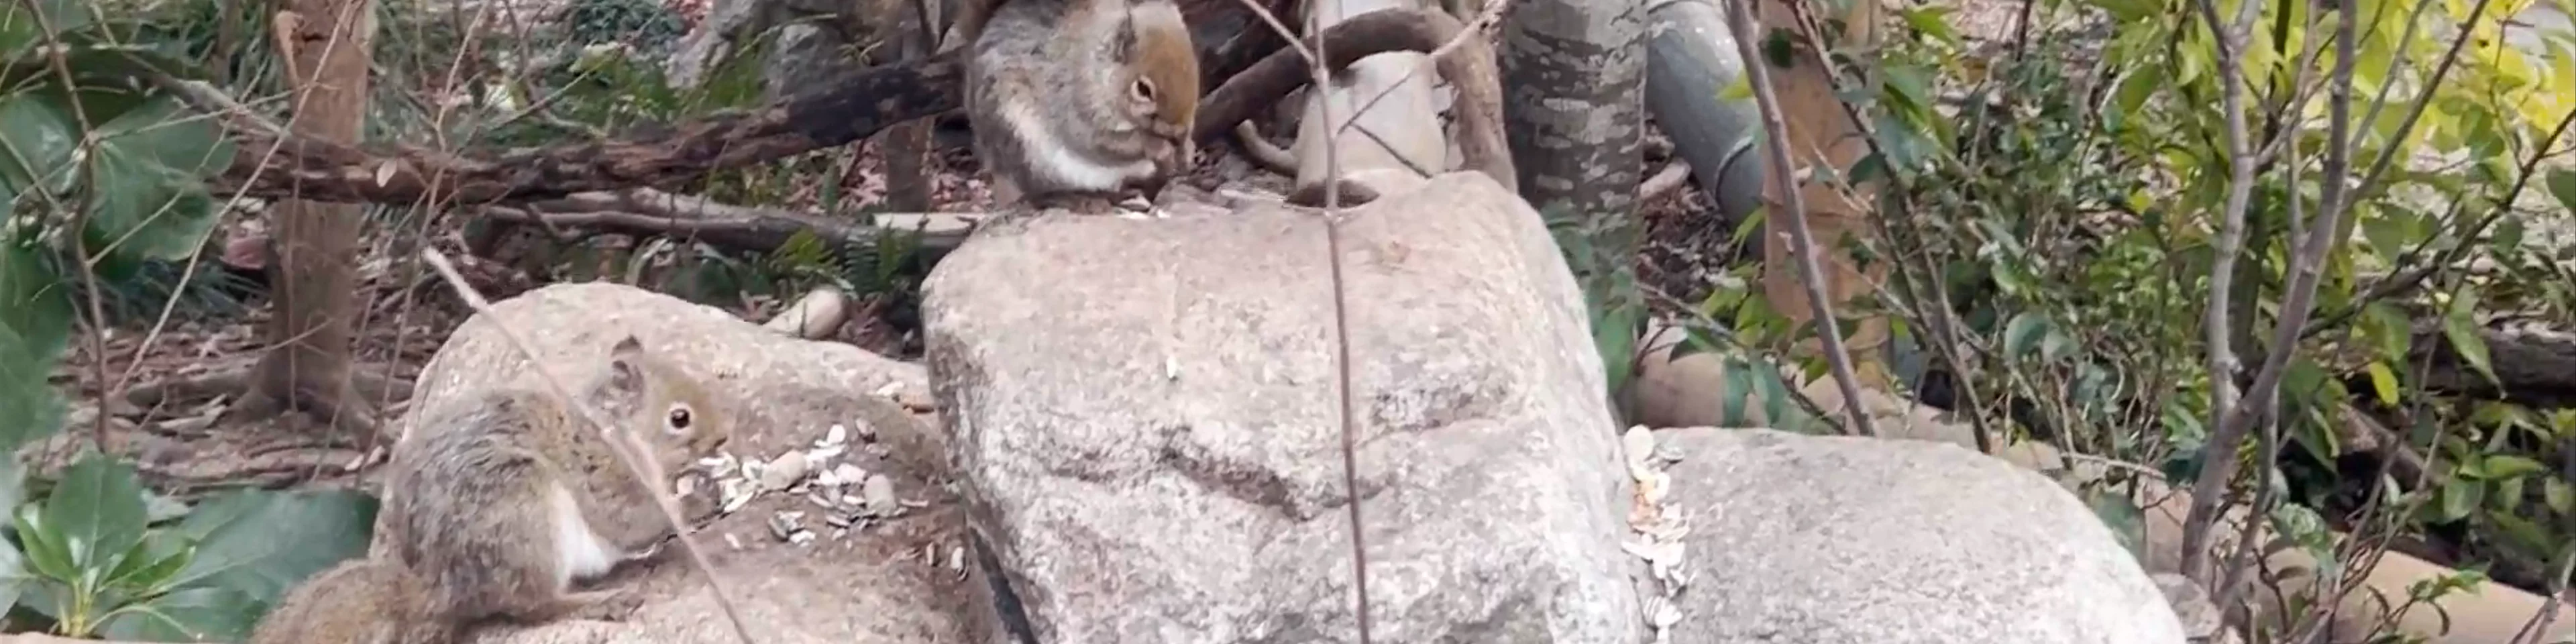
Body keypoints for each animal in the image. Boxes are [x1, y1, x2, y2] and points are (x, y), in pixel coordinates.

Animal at [250, 334, 733, 644]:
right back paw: (602, 602)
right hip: (523, 513)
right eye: (680, 418)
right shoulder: (607, 474)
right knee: (532, 606)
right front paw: (697, 499)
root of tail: (441, 587)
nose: (723, 438)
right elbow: (634, 520)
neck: (619, 431)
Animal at [956, 0, 1202, 210]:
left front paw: (1187, 150)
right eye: (1143, 89)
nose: (1179, 131)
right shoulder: (1075, 107)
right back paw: (1076, 199)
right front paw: (1158, 147)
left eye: (1195, 70)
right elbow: (1104, 144)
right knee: (1038, 192)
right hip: (1024, 146)